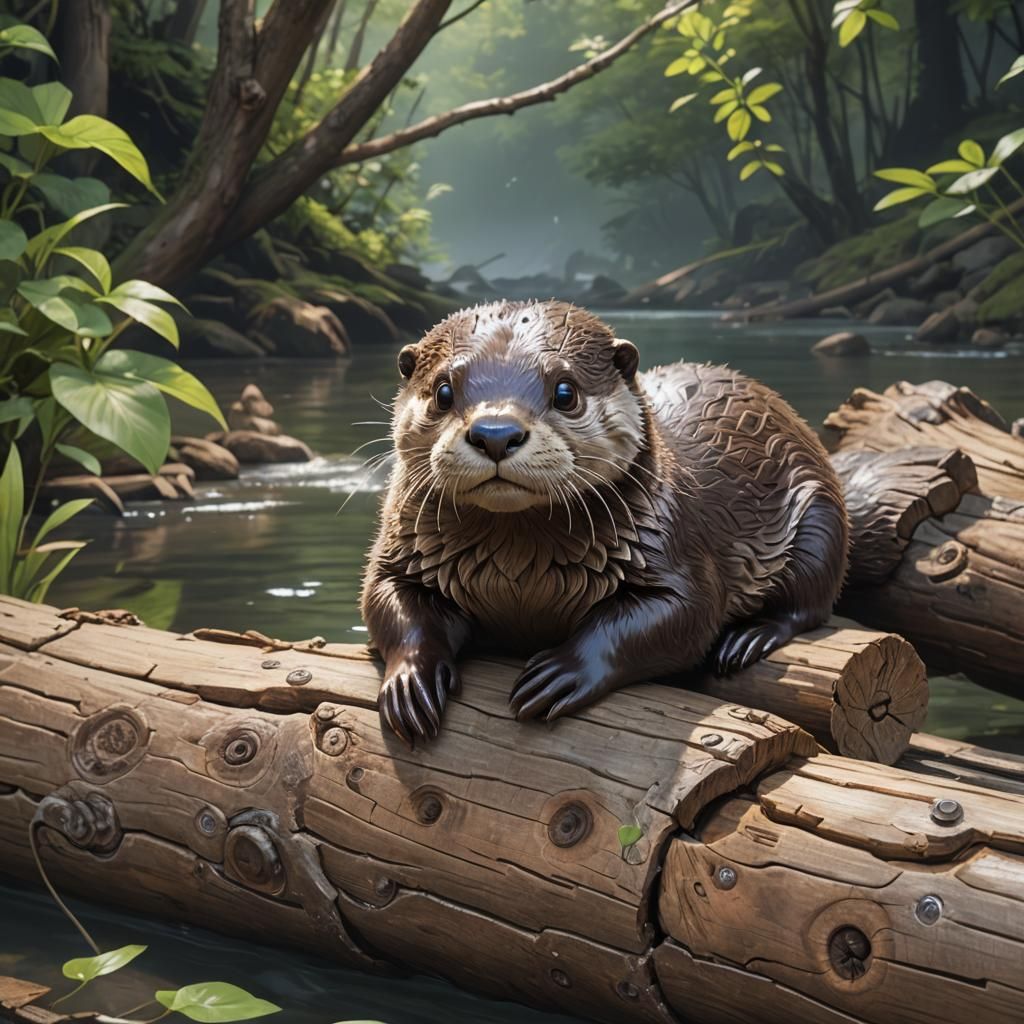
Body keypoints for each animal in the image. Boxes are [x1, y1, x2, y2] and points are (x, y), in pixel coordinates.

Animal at [362, 300, 848, 743]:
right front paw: (410, 681)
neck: (518, 573)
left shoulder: (674, 543)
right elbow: (386, 601)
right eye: (443, 392)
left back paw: (750, 637)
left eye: (565, 392)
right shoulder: (402, 552)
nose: (495, 433)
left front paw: (562, 672)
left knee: (808, 602)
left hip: (820, 513)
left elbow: (683, 616)